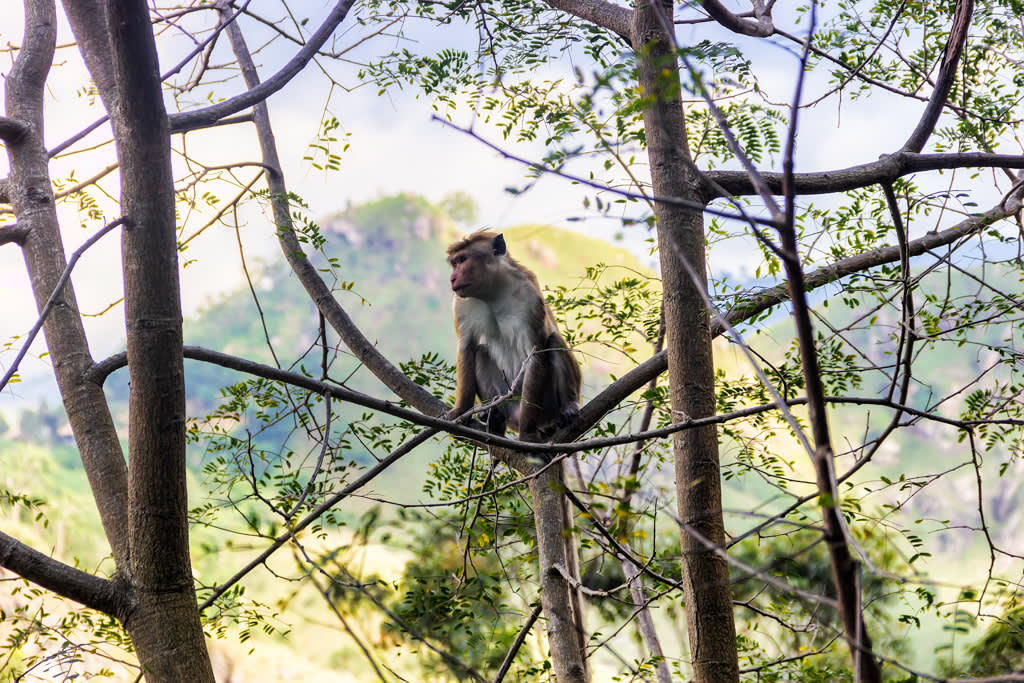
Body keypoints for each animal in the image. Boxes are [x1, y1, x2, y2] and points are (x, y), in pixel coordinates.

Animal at [444, 231, 581, 444]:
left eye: (463, 260)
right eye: (454, 263)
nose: (452, 278)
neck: (493, 291)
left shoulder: (529, 296)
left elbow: (536, 353)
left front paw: (527, 434)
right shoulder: (461, 303)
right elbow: (467, 347)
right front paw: (460, 411)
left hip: (546, 408)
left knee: (554, 343)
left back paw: (568, 408)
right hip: (510, 405)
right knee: (481, 352)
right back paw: (495, 419)